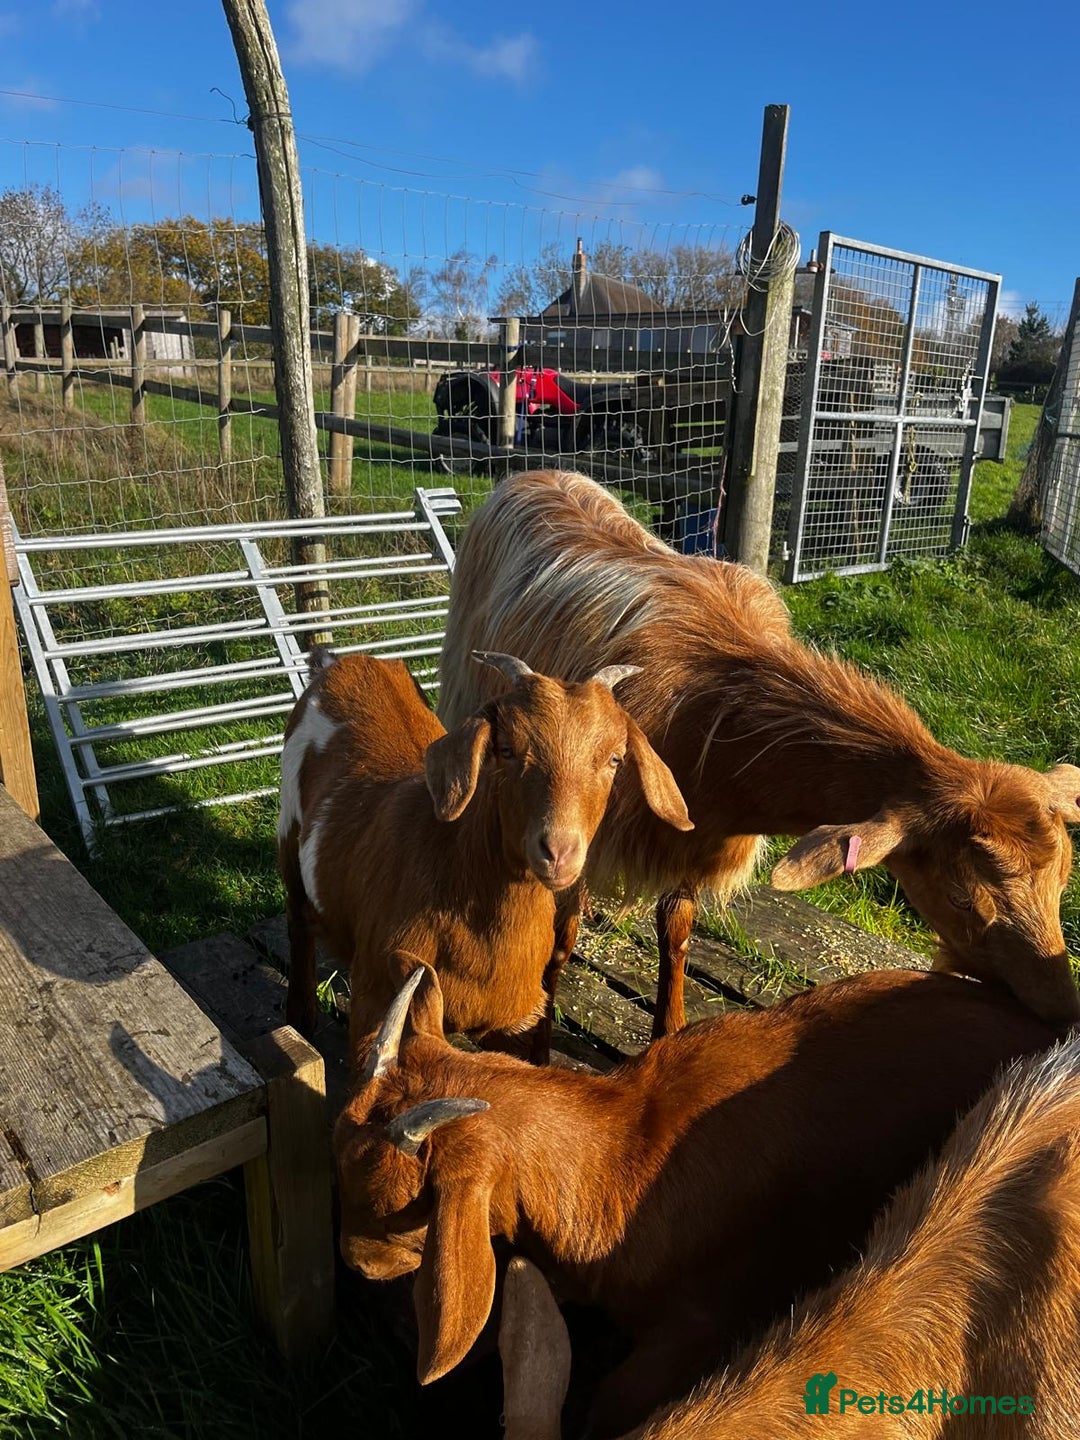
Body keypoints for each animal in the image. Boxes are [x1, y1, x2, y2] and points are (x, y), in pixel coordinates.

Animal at [277, 649, 690, 1058]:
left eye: (615, 759)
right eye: (506, 749)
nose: (558, 851)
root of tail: (345, 661)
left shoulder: (516, 1023)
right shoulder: (375, 1000)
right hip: (288, 828)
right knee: (297, 919)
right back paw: (301, 1017)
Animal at [436, 468, 1080, 1035]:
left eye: (1062, 880)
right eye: (961, 897)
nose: (1061, 1009)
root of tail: (530, 474)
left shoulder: (692, 843)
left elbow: (677, 932)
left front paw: (669, 1032)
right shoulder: (578, 835)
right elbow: (561, 944)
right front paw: (537, 1043)